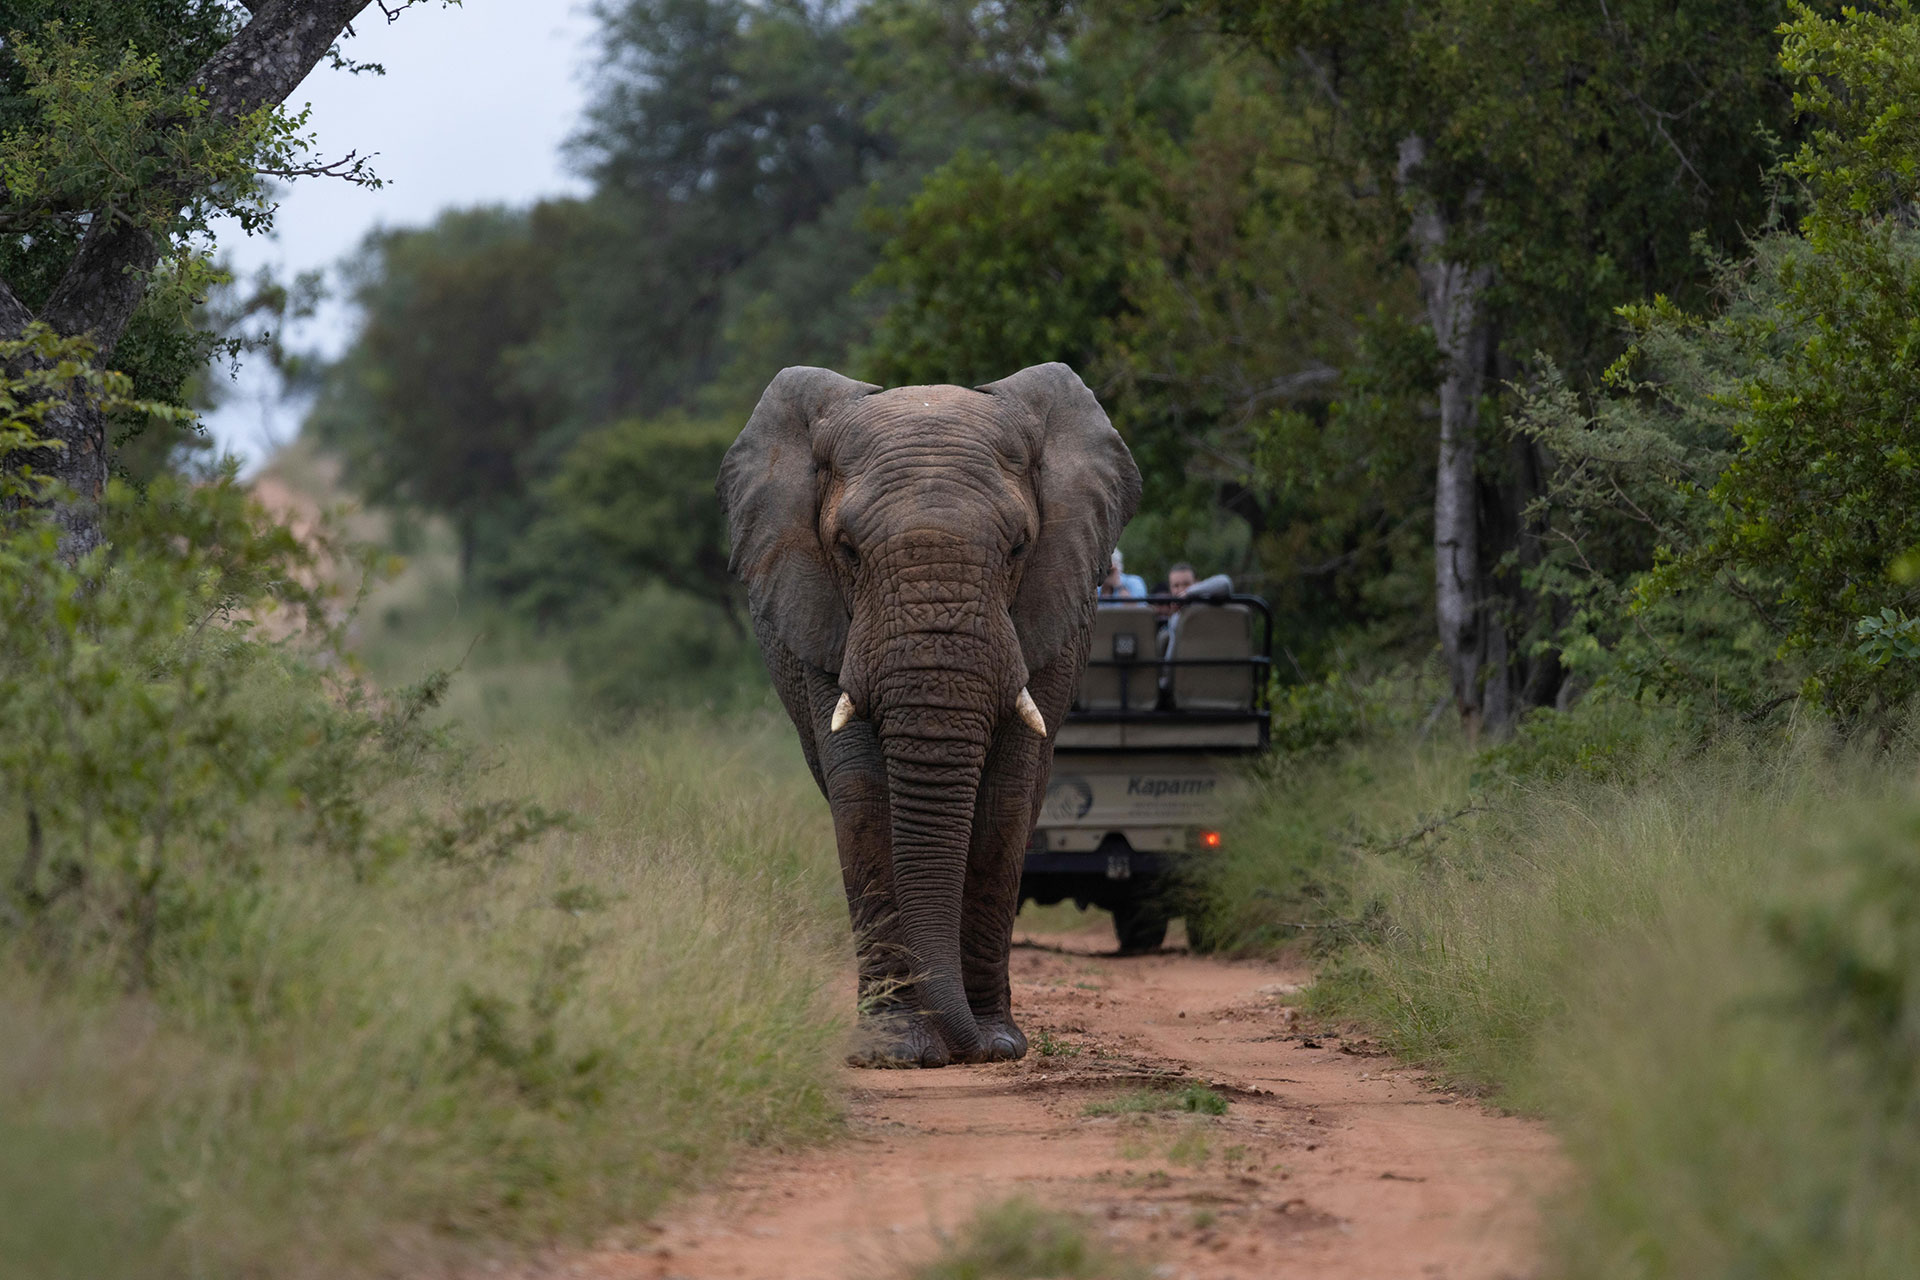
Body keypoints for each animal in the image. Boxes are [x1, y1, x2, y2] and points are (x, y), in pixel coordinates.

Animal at [717, 363, 1141, 1067]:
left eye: (1019, 547)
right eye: (847, 551)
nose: (963, 1047)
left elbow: (1006, 798)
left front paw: (996, 1045)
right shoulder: (820, 616)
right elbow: (862, 793)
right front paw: (896, 1050)